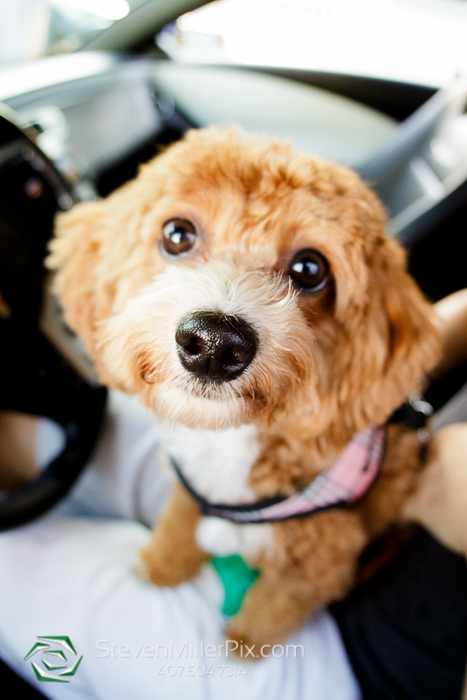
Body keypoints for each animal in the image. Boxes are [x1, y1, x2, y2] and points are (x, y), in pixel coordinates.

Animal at [47, 126, 442, 652]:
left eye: (310, 270)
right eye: (176, 234)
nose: (215, 343)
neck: (229, 443)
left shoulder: (321, 562)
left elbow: (274, 608)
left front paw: (243, 645)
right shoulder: (188, 492)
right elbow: (177, 529)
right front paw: (158, 568)